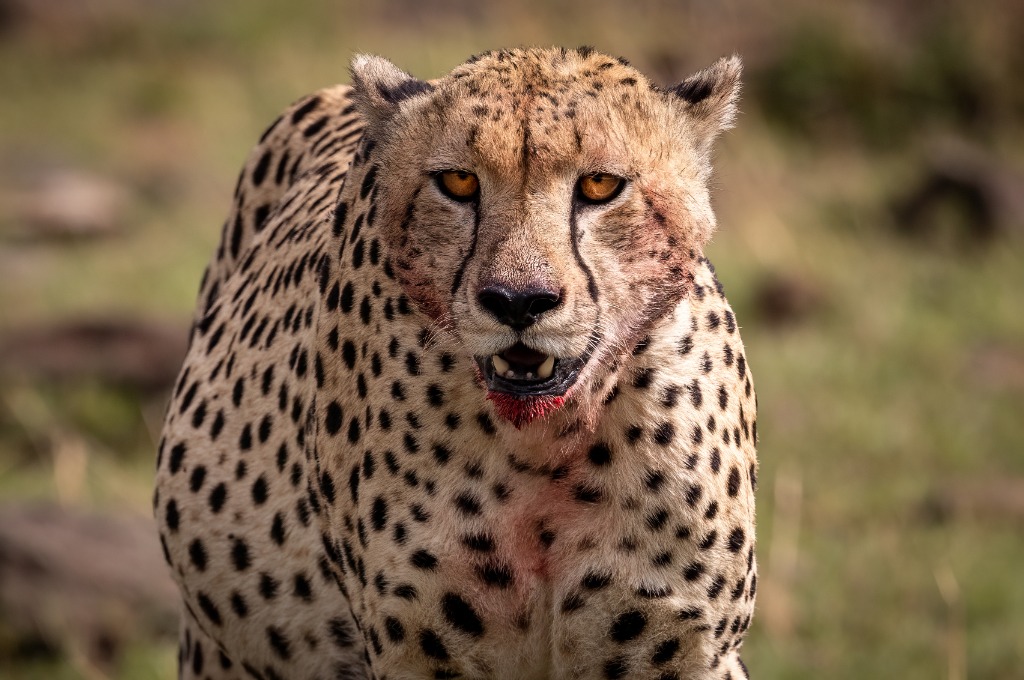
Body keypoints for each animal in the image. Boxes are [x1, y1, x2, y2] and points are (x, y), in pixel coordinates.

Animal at [154, 46, 758, 680]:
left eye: (600, 185)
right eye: (458, 181)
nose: (518, 300)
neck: (542, 445)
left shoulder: (684, 651)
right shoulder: (417, 654)